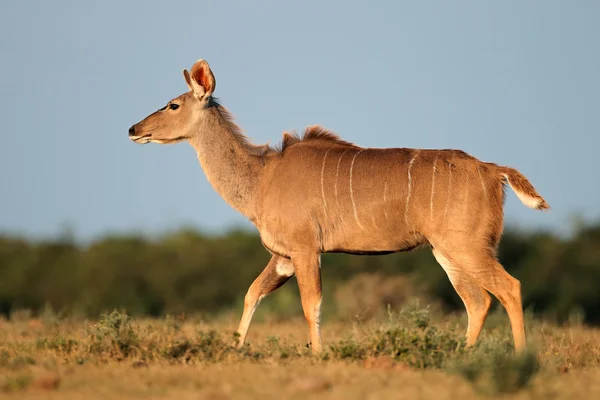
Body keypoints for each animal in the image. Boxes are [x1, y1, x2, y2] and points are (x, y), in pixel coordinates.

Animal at [130, 58, 548, 354]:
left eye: (173, 104)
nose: (134, 129)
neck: (261, 179)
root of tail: (493, 170)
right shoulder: (283, 256)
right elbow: (252, 293)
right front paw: (236, 349)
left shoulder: (304, 249)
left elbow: (310, 303)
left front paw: (316, 354)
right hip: (447, 251)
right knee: (477, 301)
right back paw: (462, 355)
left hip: (468, 246)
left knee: (509, 288)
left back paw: (519, 357)